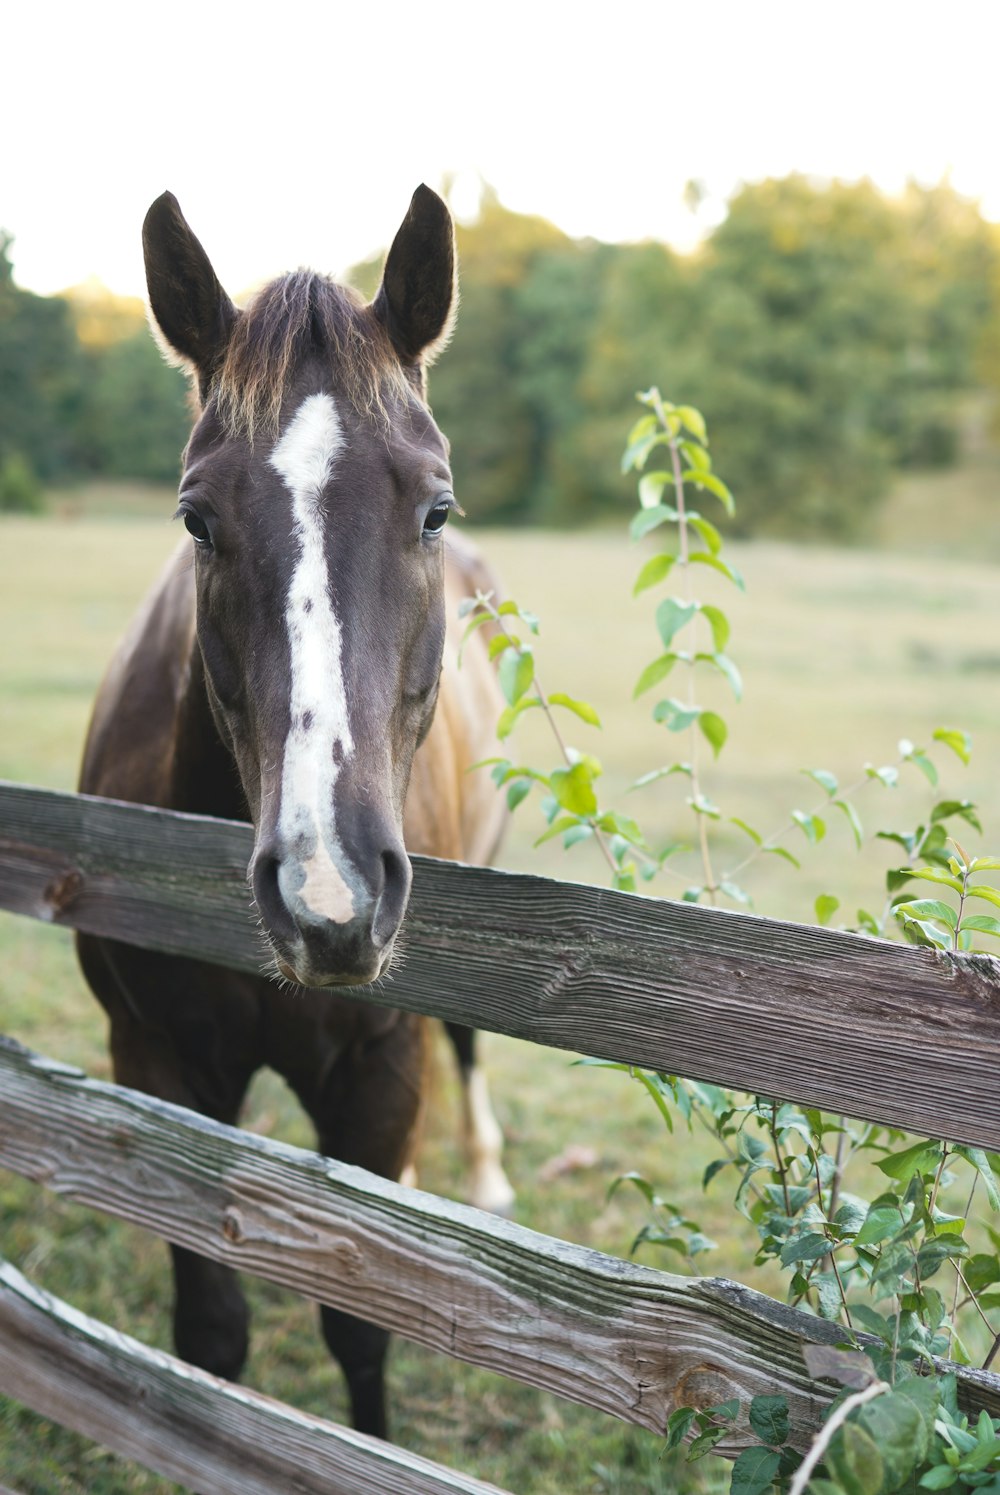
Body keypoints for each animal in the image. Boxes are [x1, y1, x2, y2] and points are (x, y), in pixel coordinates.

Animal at [76, 186, 511, 1435]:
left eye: (433, 507)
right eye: (195, 518)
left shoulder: (375, 1074)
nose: (330, 894)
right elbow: (212, 1332)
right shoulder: (158, 1063)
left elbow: (361, 1326)